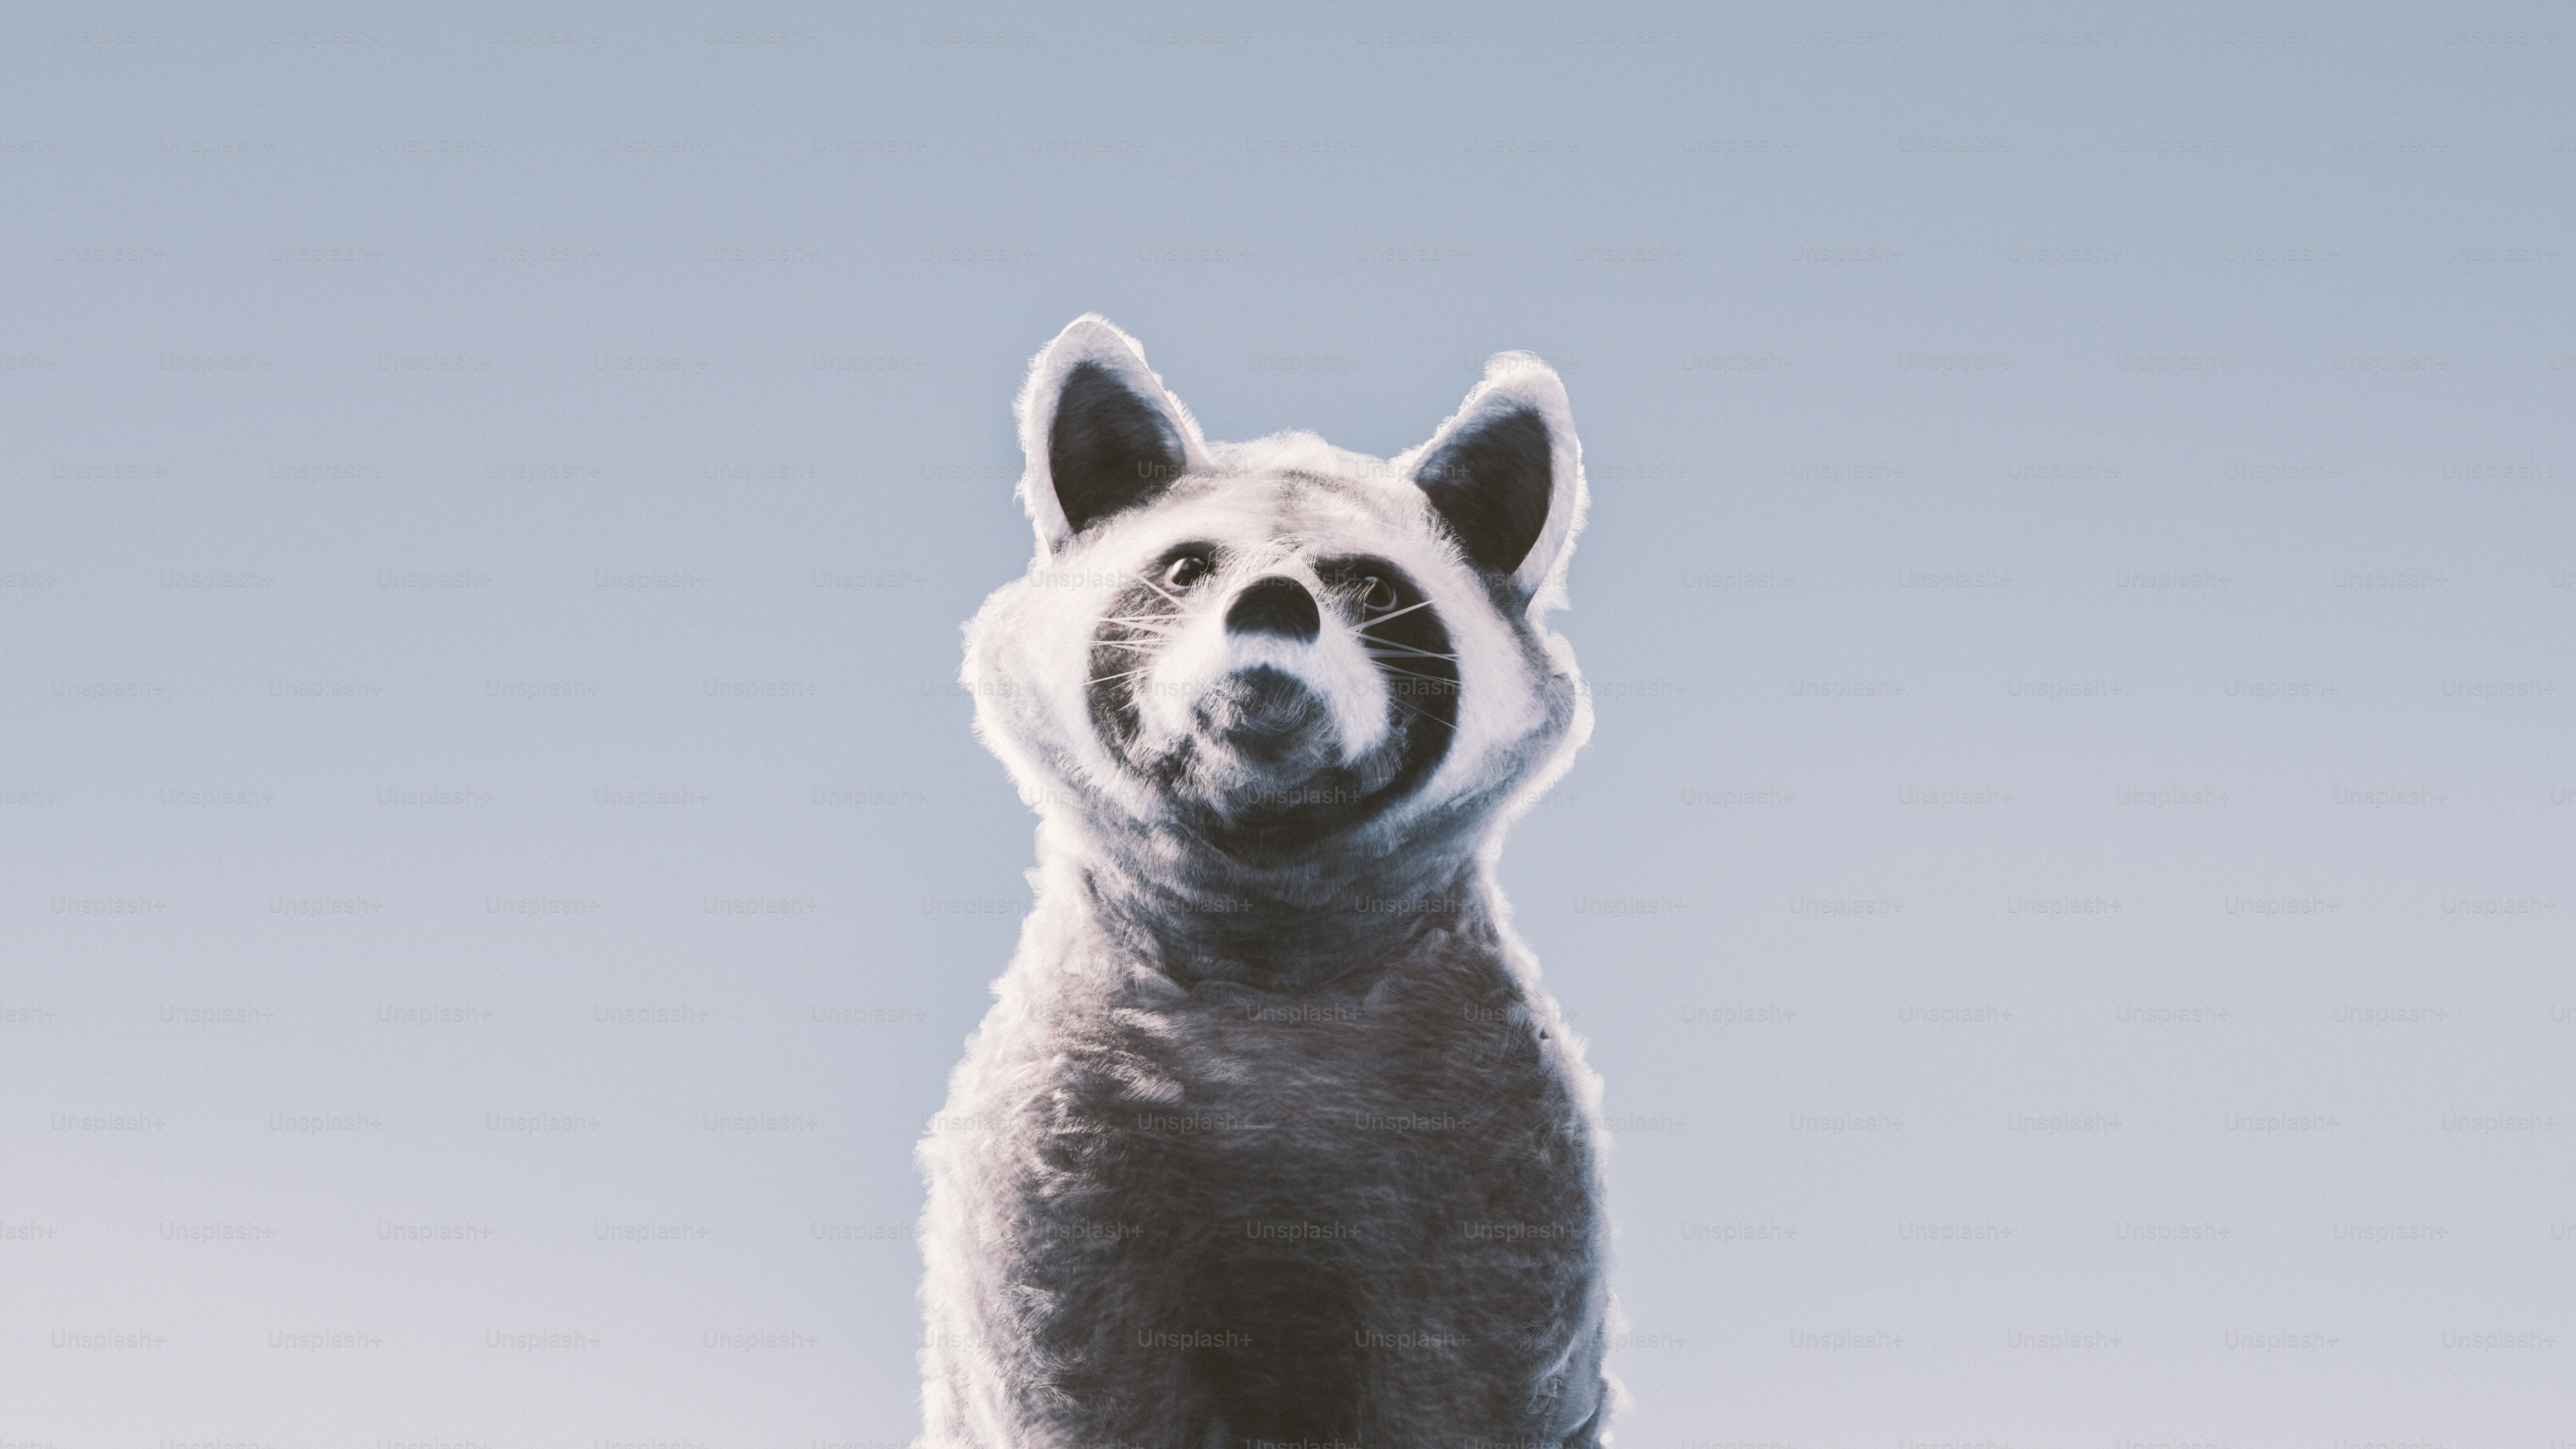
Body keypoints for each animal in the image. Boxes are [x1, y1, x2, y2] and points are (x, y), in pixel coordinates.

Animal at [917, 315, 1612, 1447]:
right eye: (1187, 567)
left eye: (1372, 588)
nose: (1275, 603)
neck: (1269, 914)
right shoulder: (1060, 1168)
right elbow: (1077, 1384)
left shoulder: (1491, 1162)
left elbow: (1470, 1382)